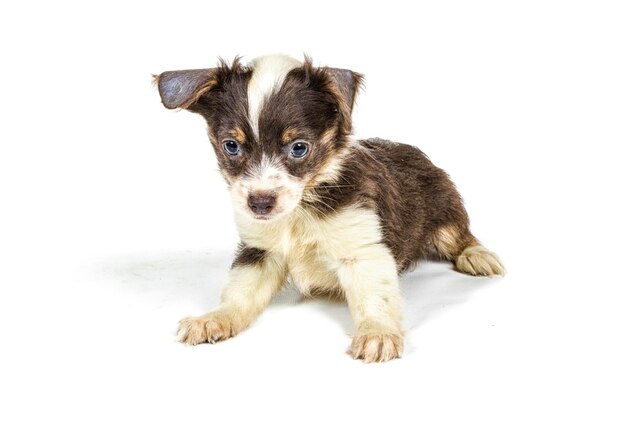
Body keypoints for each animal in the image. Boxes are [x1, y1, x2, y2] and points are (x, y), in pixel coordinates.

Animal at [155, 54, 502, 362]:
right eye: (231, 146)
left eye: (299, 148)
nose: (260, 203)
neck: (301, 205)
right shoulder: (259, 251)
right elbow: (239, 292)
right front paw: (214, 318)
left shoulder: (362, 249)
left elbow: (375, 297)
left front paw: (377, 333)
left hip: (444, 207)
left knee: (459, 234)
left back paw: (478, 256)